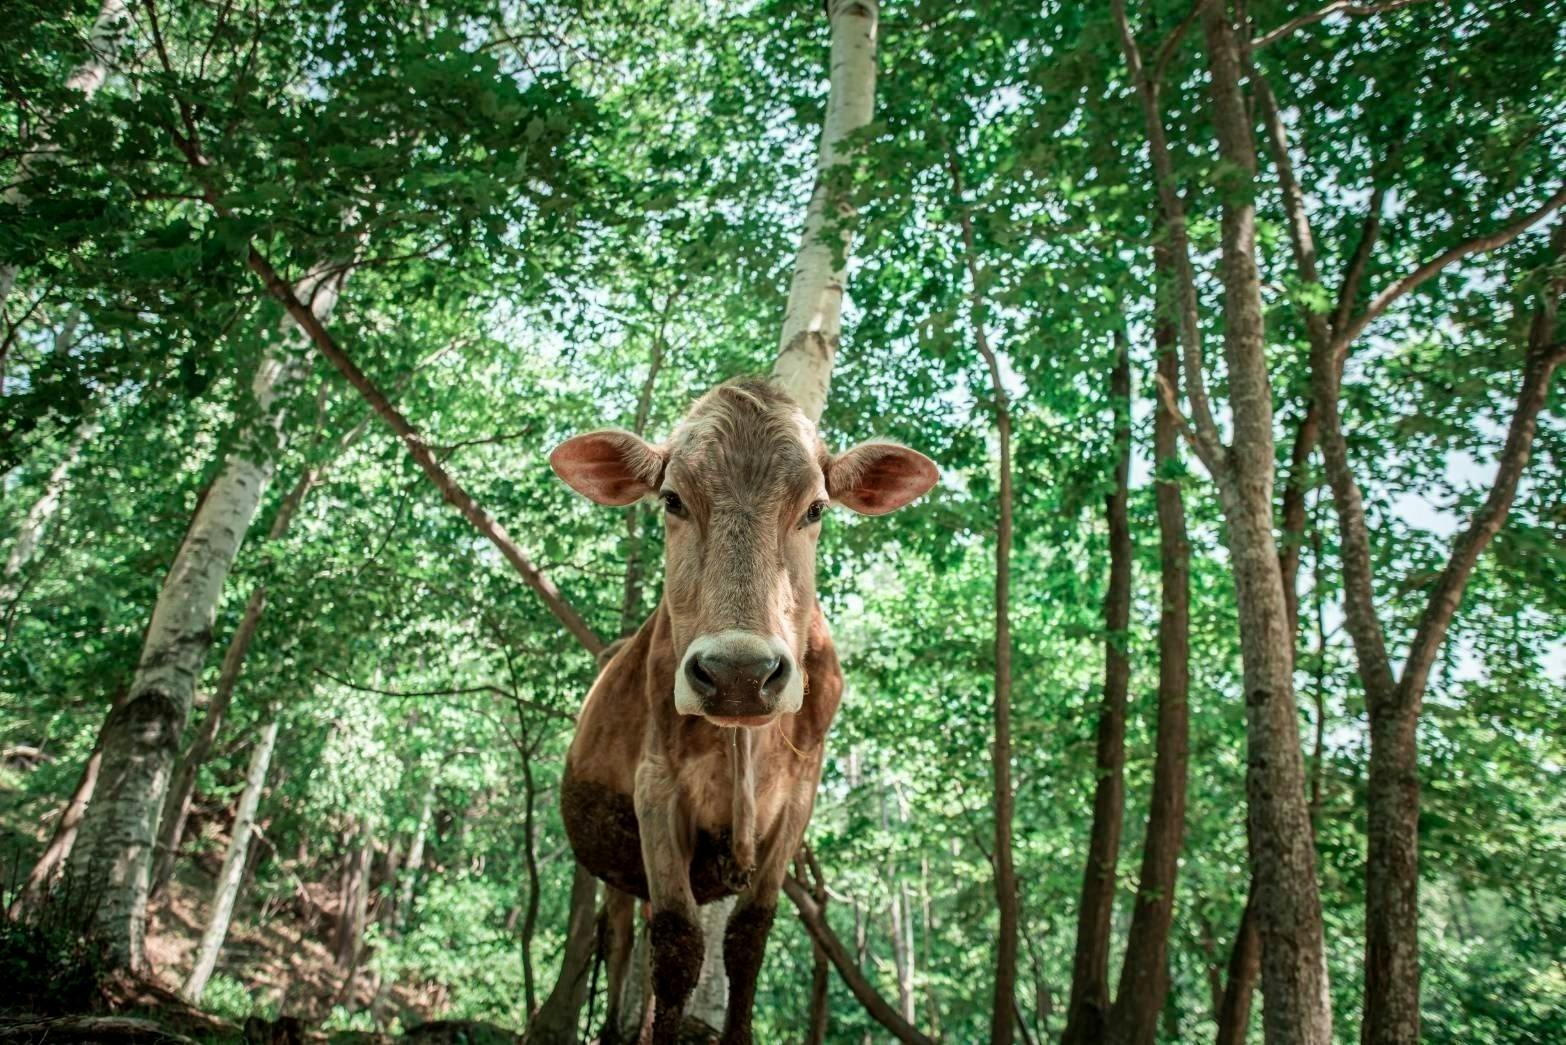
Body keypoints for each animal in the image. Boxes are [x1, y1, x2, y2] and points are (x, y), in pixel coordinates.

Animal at [551, 380, 933, 1045]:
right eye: (673, 500)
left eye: (816, 509)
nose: (739, 674)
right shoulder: (656, 787)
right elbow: (678, 945)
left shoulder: (799, 798)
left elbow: (748, 937)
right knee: (622, 939)